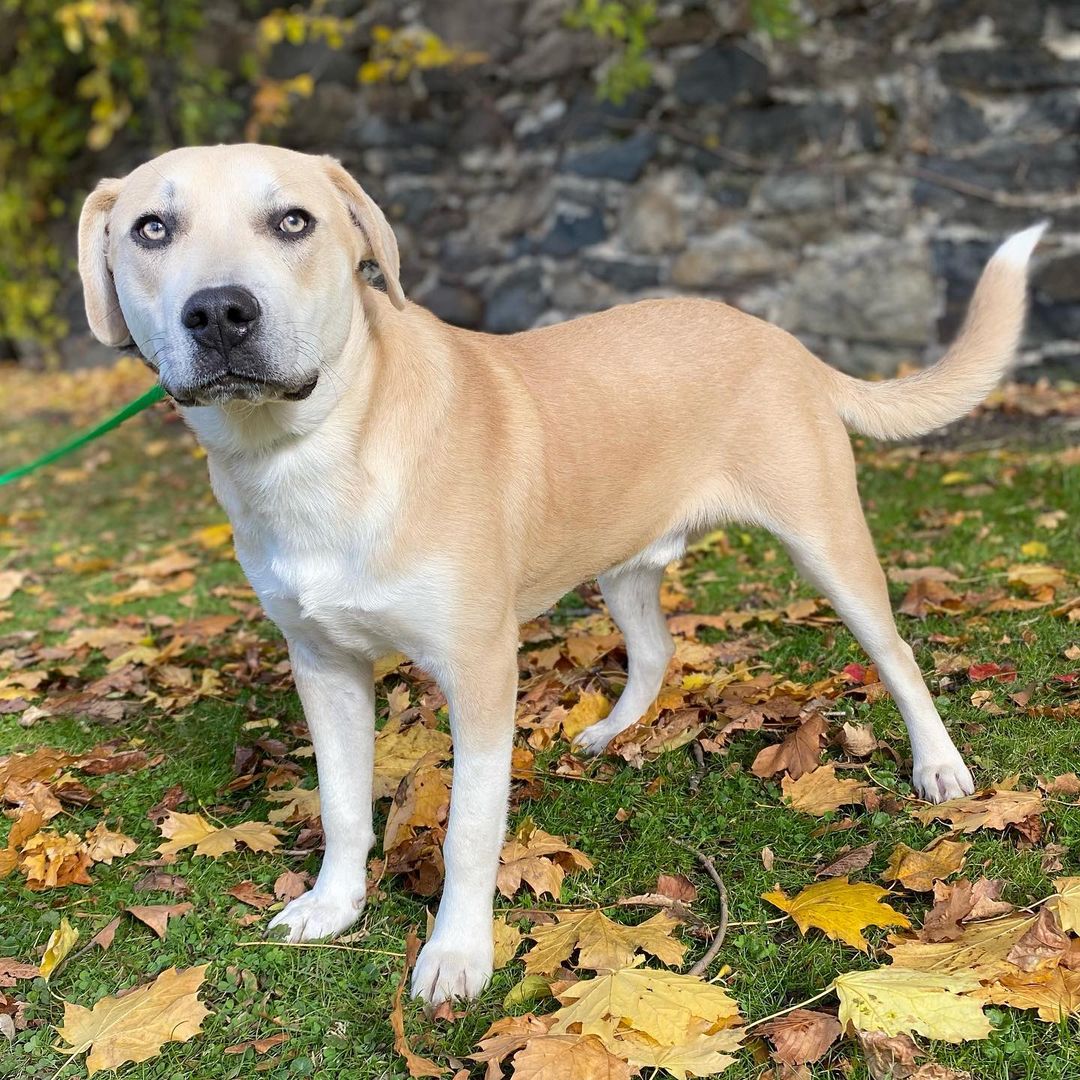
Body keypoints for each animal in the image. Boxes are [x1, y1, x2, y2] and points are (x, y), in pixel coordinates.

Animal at [79, 141, 1041, 1002]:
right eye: (152, 228)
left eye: (292, 221)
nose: (219, 314)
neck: (312, 454)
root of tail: (781, 338)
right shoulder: (323, 664)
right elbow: (344, 804)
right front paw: (333, 904)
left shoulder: (479, 668)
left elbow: (469, 830)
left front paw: (456, 954)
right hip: (622, 562)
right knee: (655, 651)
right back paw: (611, 732)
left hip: (827, 542)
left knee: (896, 654)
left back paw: (939, 767)